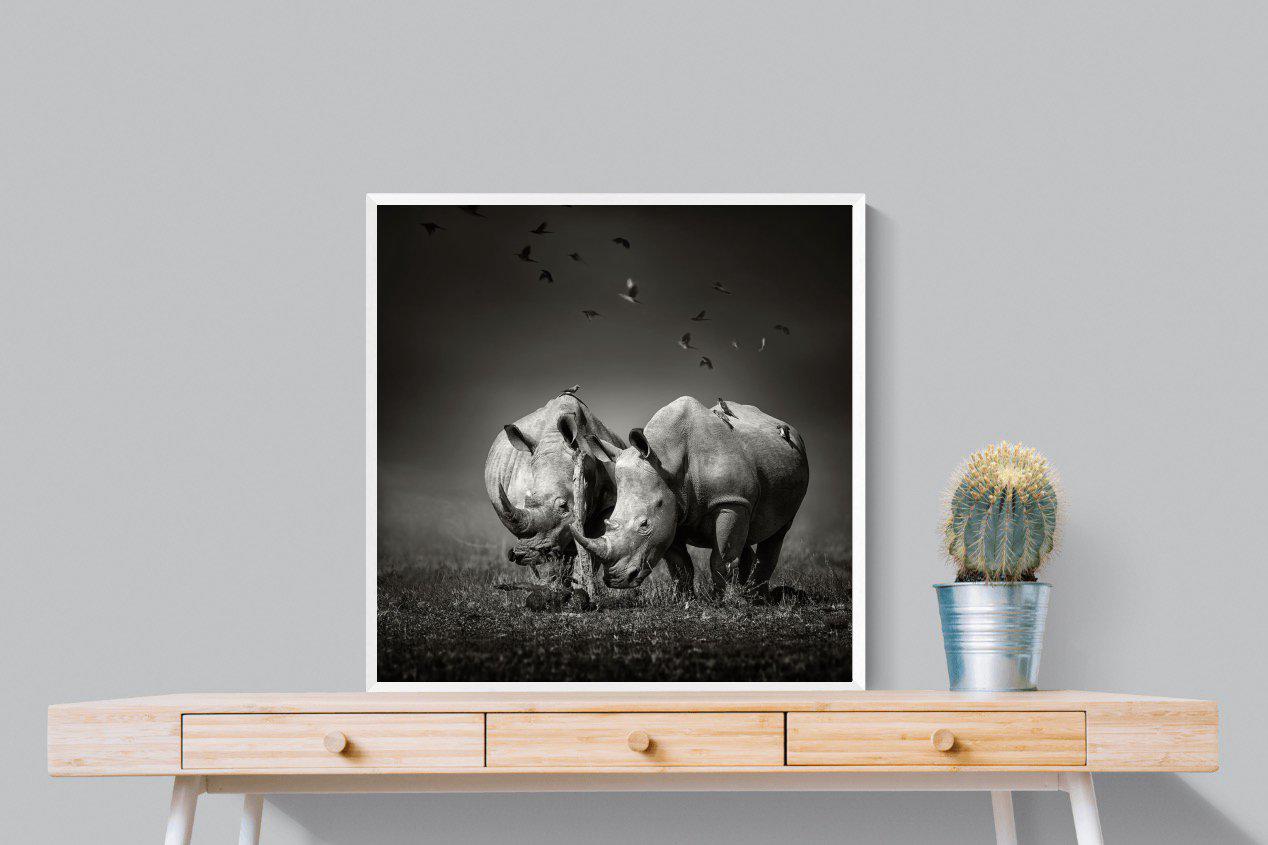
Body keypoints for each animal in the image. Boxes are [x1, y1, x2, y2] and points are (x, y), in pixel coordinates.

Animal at [485, 391, 626, 589]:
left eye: (563, 506)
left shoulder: (608, 503)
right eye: (528, 500)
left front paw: (581, 586)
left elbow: (591, 544)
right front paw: (551, 587)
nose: (519, 554)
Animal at [574, 396, 809, 596]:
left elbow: (721, 558)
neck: (667, 459)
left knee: (778, 532)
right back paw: (748, 593)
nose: (615, 580)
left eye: (644, 524)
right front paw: (684, 599)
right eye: (608, 522)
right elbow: (680, 564)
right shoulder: (671, 509)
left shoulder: (730, 500)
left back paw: (757, 597)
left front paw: (724, 601)